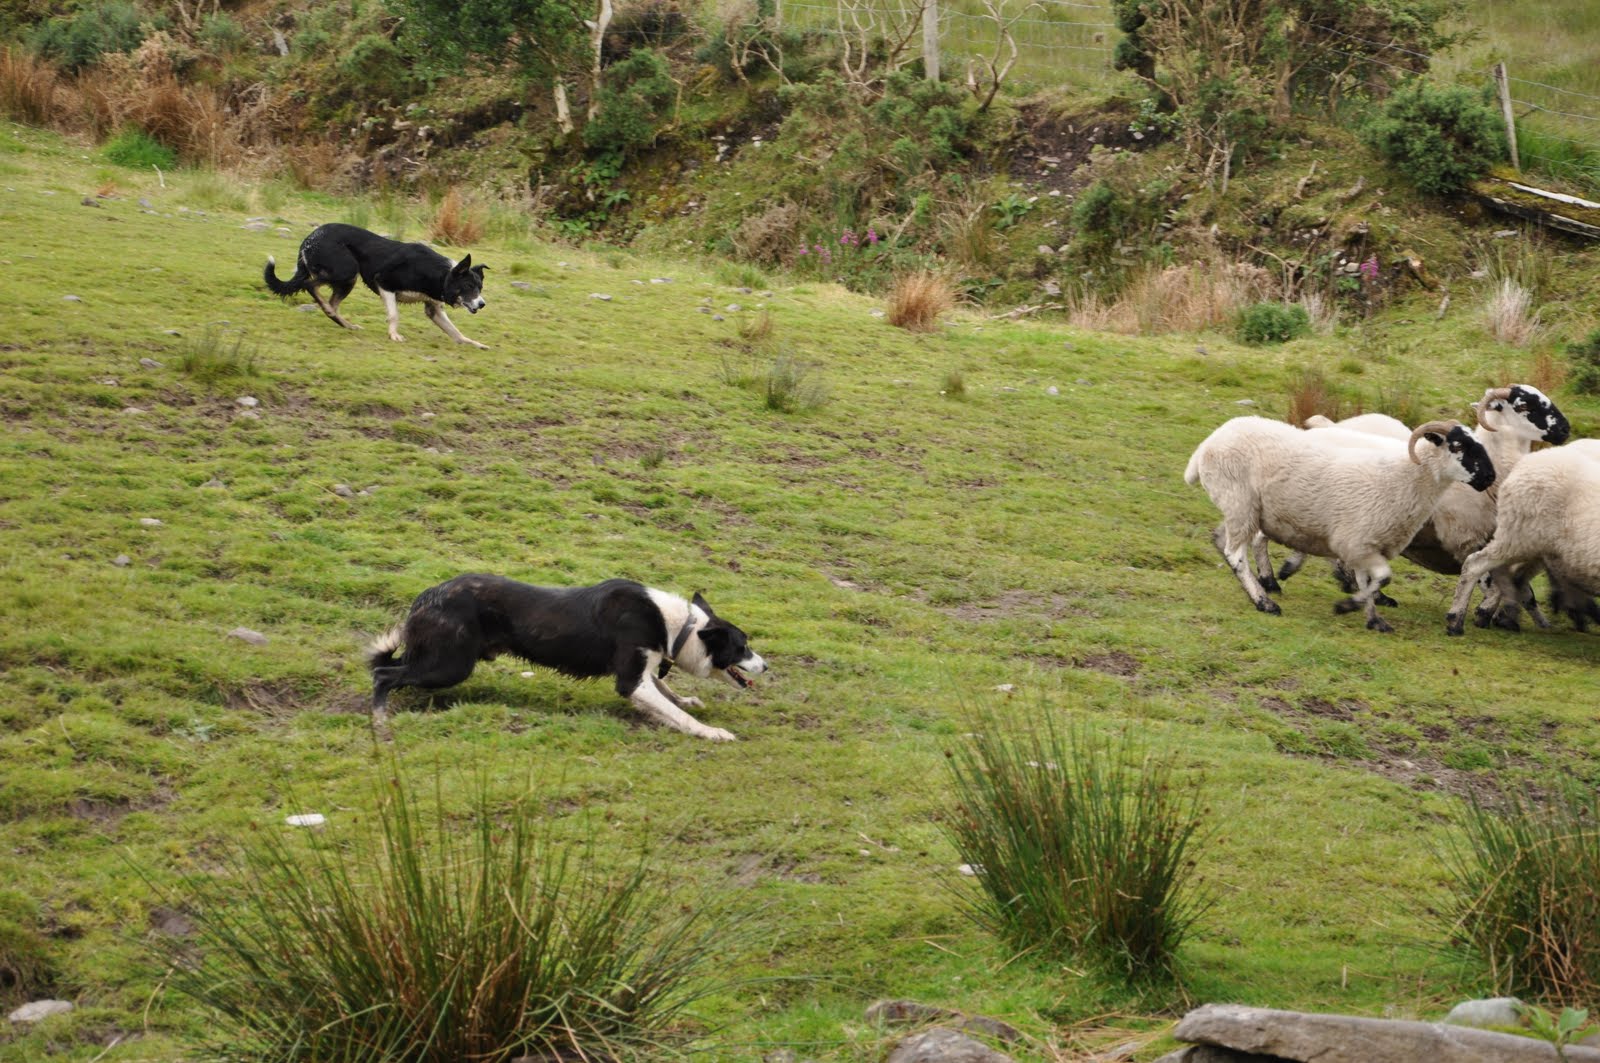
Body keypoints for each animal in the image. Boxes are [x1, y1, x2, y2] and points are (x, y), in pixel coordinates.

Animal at [262, 222, 489, 348]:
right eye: (469, 286)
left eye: (479, 288)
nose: (482, 304)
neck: (440, 274)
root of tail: (309, 239)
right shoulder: (384, 282)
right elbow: (394, 315)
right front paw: (394, 335)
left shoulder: (433, 309)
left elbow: (457, 333)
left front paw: (475, 344)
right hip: (347, 271)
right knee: (311, 285)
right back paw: (329, 310)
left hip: (346, 279)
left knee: (331, 303)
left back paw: (345, 324)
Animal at [368, 576, 768, 742]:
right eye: (743, 647)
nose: (766, 666)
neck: (679, 626)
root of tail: (426, 597)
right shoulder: (630, 681)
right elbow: (674, 712)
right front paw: (710, 732)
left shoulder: (641, 669)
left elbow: (666, 692)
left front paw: (686, 699)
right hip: (449, 666)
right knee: (383, 674)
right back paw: (379, 719)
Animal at [1190, 416, 1497, 630]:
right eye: (1457, 445)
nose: (1490, 477)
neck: (1403, 478)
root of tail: (1207, 444)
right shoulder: (1356, 542)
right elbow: (1382, 578)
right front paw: (1347, 605)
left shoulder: (1364, 545)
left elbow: (1368, 580)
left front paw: (1373, 619)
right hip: (1240, 503)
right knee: (1236, 554)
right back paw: (1264, 601)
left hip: (1245, 510)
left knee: (1222, 539)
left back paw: (1262, 586)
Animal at [1446, 445, 1600, 633]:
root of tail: (1526, 461)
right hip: (1519, 535)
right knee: (1475, 565)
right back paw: (1457, 621)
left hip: (1536, 546)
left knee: (1510, 574)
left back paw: (1501, 615)